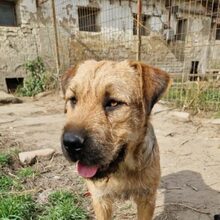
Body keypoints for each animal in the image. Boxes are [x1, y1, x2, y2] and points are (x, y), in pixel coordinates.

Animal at [60, 59, 170, 219]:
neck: (122, 170)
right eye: (73, 100)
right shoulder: (101, 200)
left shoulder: (147, 200)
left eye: (113, 103)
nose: (70, 143)